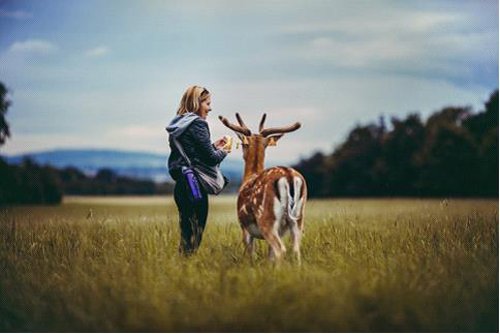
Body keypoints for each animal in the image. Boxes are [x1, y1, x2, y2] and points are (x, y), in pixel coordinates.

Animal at [220, 113, 308, 264]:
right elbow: (269, 255)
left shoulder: (244, 227)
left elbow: (251, 252)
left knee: (280, 249)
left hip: (266, 217)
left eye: (243, 144)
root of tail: (289, 176)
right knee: (296, 250)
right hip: (298, 219)